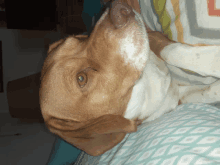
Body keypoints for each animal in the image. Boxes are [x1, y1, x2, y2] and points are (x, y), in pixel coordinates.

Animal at [39, 0, 220, 157]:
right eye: (81, 78)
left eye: (77, 38)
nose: (118, 7)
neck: (143, 82)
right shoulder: (175, 97)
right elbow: (206, 85)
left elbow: (171, 51)